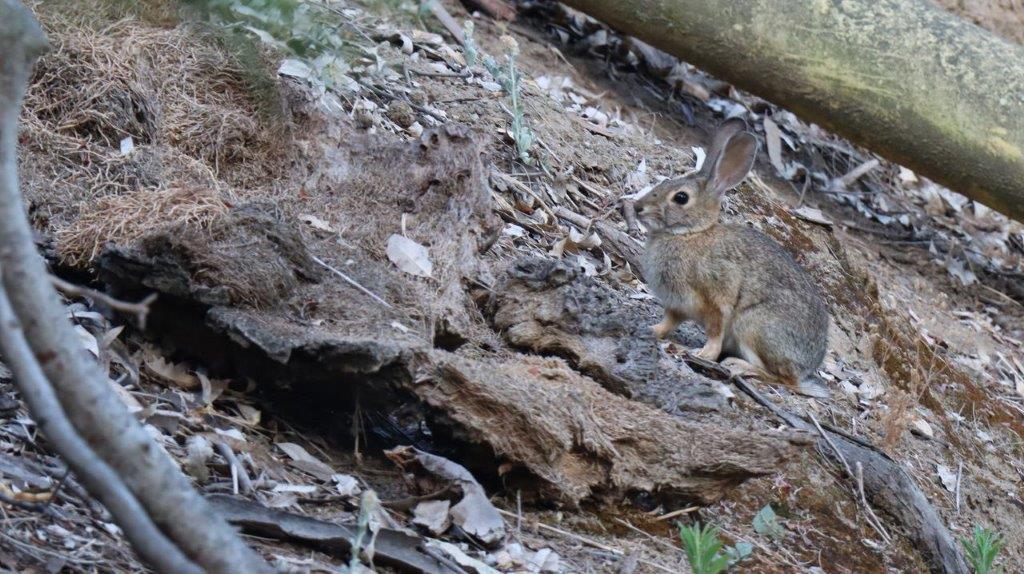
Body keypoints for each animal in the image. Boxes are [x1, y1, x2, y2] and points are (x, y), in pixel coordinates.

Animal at [638, 116, 831, 392]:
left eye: (681, 197)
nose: (637, 207)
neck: (689, 234)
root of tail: (807, 367)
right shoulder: (676, 305)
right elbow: (669, 322)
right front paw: (652, 330)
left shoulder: (717, 298)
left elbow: (715, 331)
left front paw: (702, 354)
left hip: (753, 326)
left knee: (785, 379)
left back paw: (739, 366)